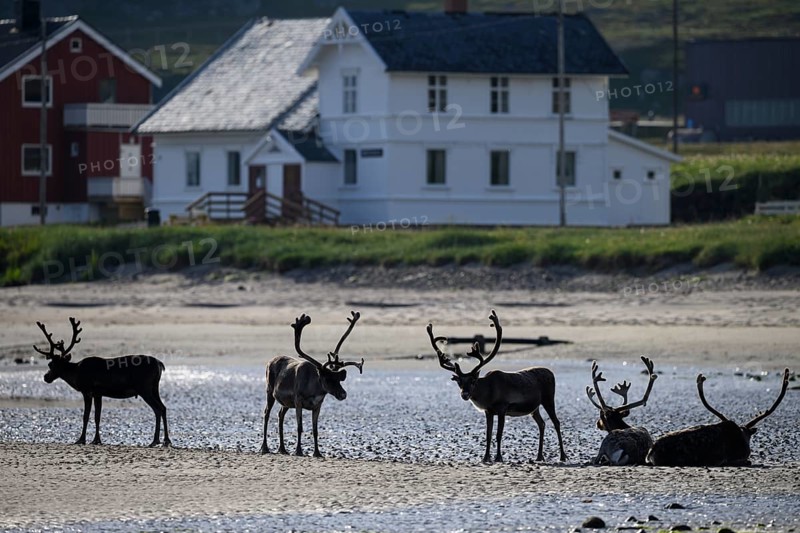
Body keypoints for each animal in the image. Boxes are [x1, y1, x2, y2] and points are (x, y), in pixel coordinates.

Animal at [34, 317, 170, 447]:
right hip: (154, 387)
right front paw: (96, 440)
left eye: (50, 364)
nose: (46, 377)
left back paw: (155, 441)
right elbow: (97, 416)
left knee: (157, 409)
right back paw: (166, 441)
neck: (76, 373)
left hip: (144, 388)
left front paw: (81, 440)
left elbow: (86, 416)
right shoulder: (98, 393)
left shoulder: (87, 390)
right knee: (163, 407)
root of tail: (160, 364)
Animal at [260, 311, 364, 457]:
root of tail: (270, 361)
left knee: (280, 415)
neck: (314, 389)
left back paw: (282, 449)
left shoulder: (317, 406)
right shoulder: (298, 401)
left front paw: (317, 452)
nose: (343, 394)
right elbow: (300, 427)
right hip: (269, 391)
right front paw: (298, 451)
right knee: (266, 414)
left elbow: (315, 430)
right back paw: (265, 447)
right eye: (327, 378)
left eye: (338, 379)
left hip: (286, 403)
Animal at [427, 310, 567, 464]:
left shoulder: (502, 408)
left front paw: (498, 457)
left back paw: (562, 456)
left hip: (548, 399)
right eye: (459, 382)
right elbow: (488, 435)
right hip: (534, 408)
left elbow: (498, 434)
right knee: (542, 424)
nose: (464, 394)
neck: (488, 393)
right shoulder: (488, 411)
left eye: (473, 380)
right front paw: (485, 457)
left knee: (556, 422)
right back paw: (539, 456)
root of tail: (551, 372)